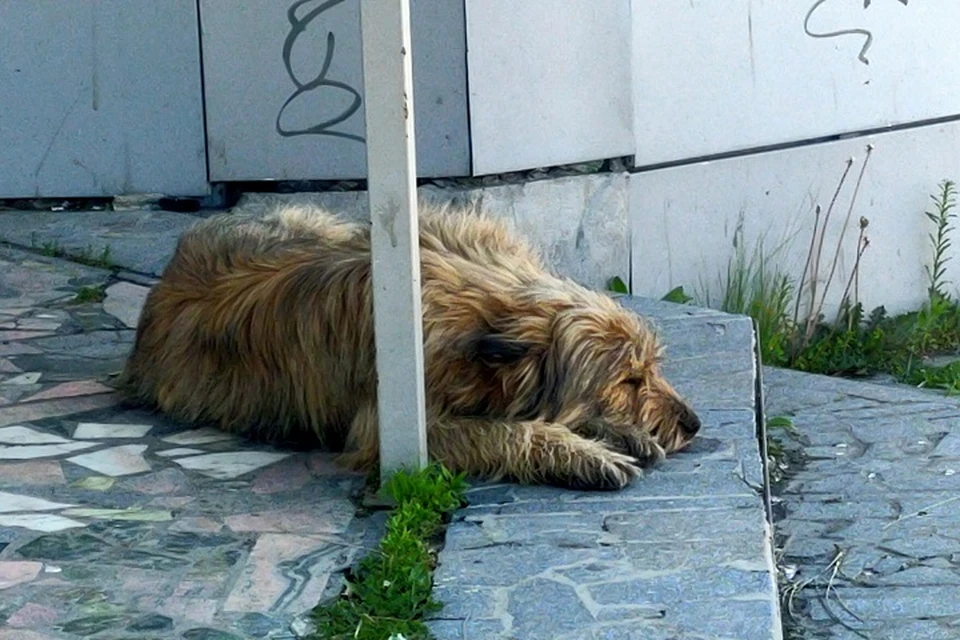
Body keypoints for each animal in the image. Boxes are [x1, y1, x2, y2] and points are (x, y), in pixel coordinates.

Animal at [122, 200, 704, 490]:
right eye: (628, 380)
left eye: (652, 369)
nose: (693, 424)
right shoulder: (397, 429)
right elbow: (501, 431)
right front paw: (584, 454)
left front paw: (619, 433)